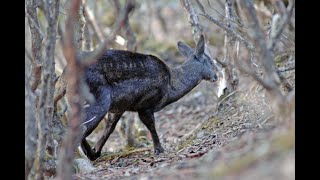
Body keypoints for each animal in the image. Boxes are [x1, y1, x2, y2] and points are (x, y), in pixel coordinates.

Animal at [81, 34, 219, 160]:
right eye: (211, 61)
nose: (216, 76)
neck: (170, 85)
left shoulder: (119, 108)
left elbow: (110, 127)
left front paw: (96, 152)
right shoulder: (146, 104)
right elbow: (151, 126)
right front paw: (159, 150)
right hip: (100, 99)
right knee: (82, 128)